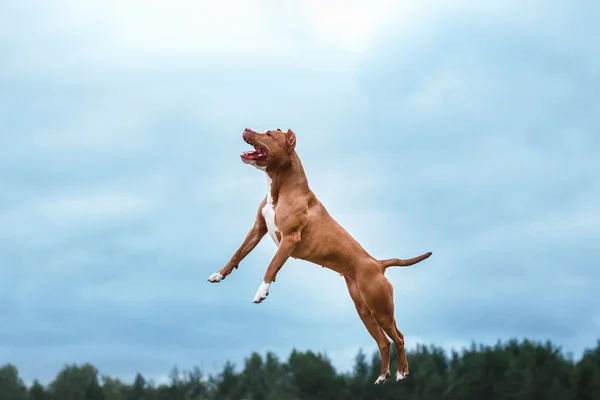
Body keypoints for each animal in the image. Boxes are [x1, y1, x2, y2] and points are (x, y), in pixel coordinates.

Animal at [207, 128, 432, 384]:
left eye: (269, 134)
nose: (246, 128)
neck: (280, 188)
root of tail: (377, 263)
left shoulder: (289, 239)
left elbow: (271, 266)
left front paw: (261, 292)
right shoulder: (257, 229)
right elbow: (237, 254)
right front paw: (219, 274)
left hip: (381, 308)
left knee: (399, 337)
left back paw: (402, 372)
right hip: (364, 310)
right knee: (384, 343)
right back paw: (383, 375)